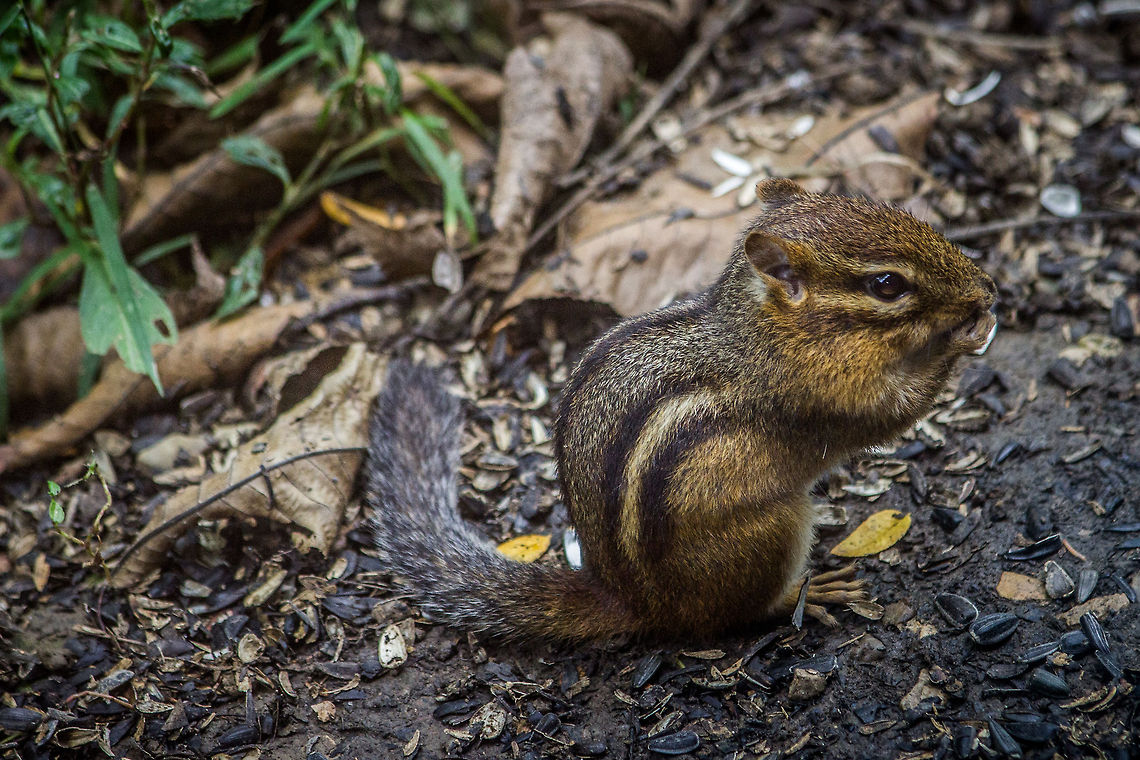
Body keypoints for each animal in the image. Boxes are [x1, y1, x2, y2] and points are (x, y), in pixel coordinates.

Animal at [365, 178, 998, 643]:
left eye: (898, 211)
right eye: (887, 284)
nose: (986, 288)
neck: (764, 330)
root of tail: (634, 602)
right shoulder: (821, 393)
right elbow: (893, 413)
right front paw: (964, 338)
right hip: (771, 530)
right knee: (740, 613)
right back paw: (805, 593)